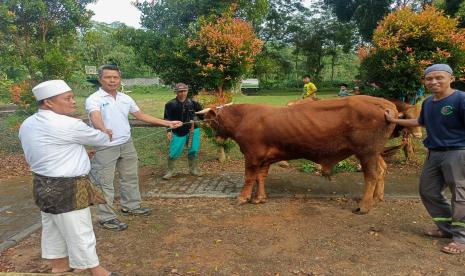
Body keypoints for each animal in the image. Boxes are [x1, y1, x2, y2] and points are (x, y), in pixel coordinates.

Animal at [198, 96, 396, 215]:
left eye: (211, 121)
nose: (217, 137)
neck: (244, 117)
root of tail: (385, 104)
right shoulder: (265, 158)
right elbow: (261, 177)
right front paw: (260, 198)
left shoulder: (252, 154)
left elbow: (249, 177)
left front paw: (243, 198)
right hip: (375, 152)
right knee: (381, 170)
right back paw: (377, 198)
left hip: (367, 152)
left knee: (372, 175)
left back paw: (364, 206)